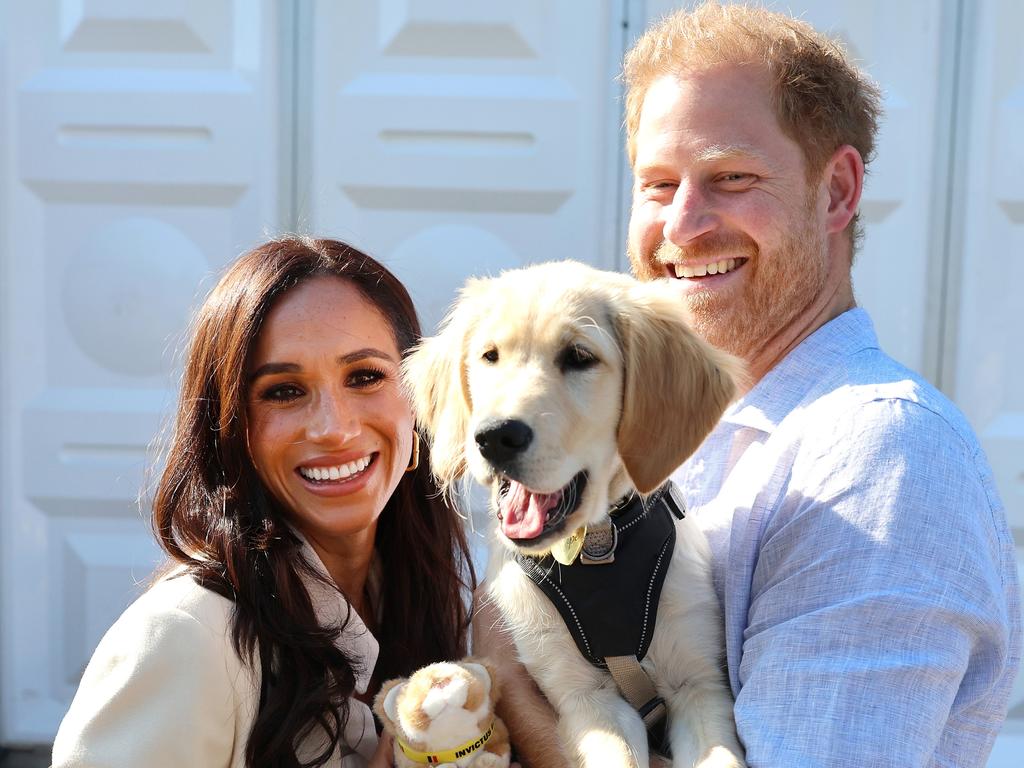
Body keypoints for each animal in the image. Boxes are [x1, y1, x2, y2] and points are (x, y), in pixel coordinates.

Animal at [403, 262, 749, 765]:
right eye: (489, 356)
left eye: (579, 357)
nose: (494, 437)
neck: (599, 547)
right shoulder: (584, 696)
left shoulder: (700, 684)